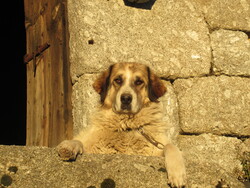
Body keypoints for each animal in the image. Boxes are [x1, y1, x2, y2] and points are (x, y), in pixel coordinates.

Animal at [56, 62, 186, 187]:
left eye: (139, 82)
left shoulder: (155, 149)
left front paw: (177, 173)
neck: (126, 127)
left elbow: (170, 146)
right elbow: (79, 141)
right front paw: (69, 146)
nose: (126, 98)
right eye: (118, 80)